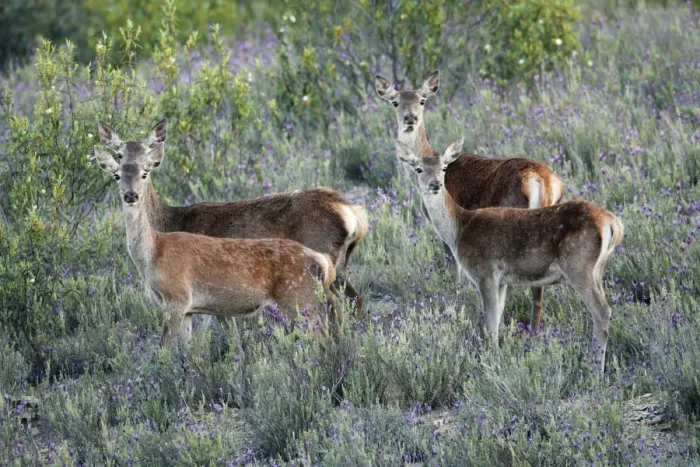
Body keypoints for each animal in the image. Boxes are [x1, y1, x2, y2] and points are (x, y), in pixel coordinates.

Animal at [94, 147, 338, 347]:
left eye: (144, 174)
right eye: (116, 176)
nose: (131, 195)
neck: (152, 253)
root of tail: (323, 262)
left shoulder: (177, 297)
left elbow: (164, 349)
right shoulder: (189, 309)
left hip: (299, 298)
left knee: (322, 336)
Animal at [97, 120, 368, 317]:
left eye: (147, 157)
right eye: (119, 155)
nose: (131, 192)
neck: (168, 221)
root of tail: (351, 211)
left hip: (321, 258)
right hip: (339, 266)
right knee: (356, 300)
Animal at [375, 70, 565, 330]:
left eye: (422, 100)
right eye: (395, 102)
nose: (410, 118)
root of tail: (541, 181)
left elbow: (452, 267)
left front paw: (455, 296)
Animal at [395, 139, 624, 373]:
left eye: (443, 168)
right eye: (419, 169)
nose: (435, 185)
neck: (460, 229)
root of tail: (614, 224)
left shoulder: (486, 272)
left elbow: (490, 323)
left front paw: (492, 362)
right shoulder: (502, 281)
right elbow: (497, 319)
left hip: (578, 266)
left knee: (602, 311)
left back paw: (595, 370)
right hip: (597, 270)